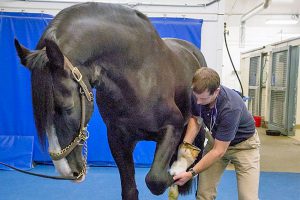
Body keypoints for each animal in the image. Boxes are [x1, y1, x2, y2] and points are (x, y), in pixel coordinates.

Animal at [14, 1, 206, 200]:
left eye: (67, 107)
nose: (67, 171)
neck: (139, 73)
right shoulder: (117, 138)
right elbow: (130, 190)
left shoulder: (172, 126)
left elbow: (156, 180)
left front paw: (178, 172)